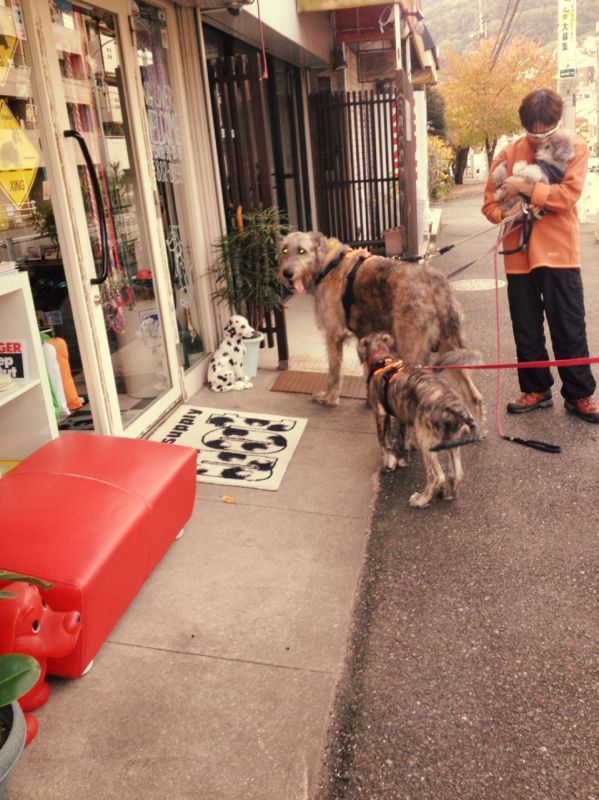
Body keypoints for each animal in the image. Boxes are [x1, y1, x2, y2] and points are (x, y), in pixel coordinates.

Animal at [278, 228, 486, 422]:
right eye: (284, 250)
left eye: (302, 251)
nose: (286, 273)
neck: (328, 262)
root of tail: (437, 284)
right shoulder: (364, 336)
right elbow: (367, 371)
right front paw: (371, 401)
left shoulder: (334, 334)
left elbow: (334, 371)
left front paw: (329, 398)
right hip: (450, 349)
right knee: (475, 396)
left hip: (411, 345)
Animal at [358, 332, 480, 510]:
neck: (383, 359)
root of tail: (456, 407)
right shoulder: (402, 415)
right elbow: (403, 439)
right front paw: (403, 460)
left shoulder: (380, 413)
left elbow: (383, 441)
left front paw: (389, 463)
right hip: (452, 438)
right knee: (457, 473)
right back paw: (448, 493)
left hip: (426, 440)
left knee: (436, 476)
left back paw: (421, 500)